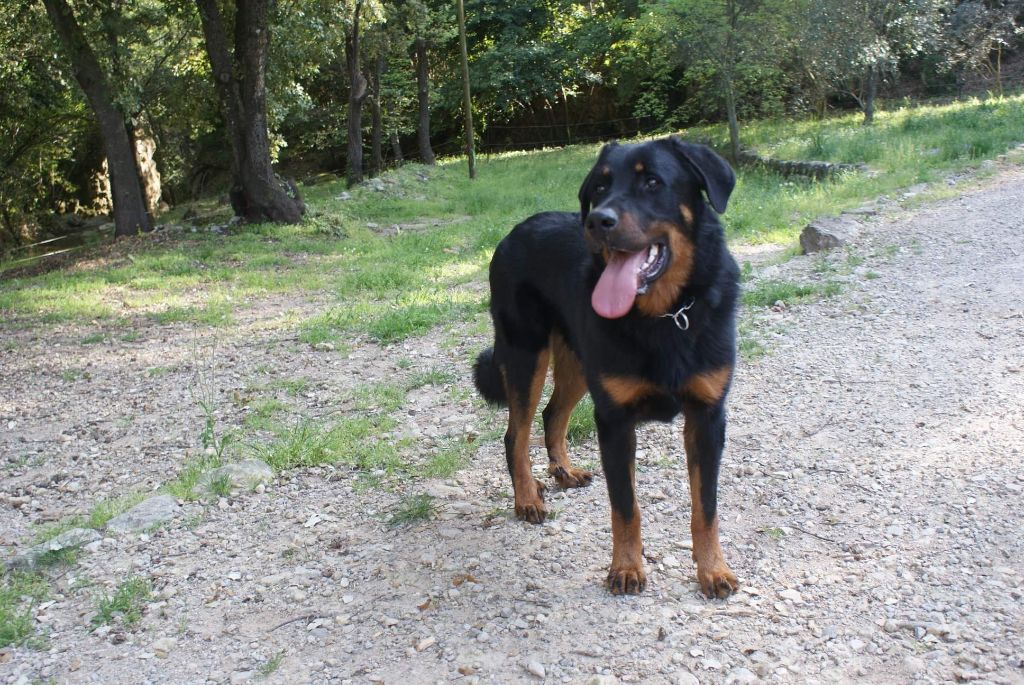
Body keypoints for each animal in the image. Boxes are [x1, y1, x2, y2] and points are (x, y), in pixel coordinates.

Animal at [475, 133, 741, 593]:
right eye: (598, 187)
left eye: (652, 181)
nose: (598, 221)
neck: (663, 316)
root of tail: (512, 233)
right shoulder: (614, 420)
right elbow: (626, 507)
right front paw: (626, 569)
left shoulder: (707, 416)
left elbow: (705, 506)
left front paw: (712, 570)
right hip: (526, 355)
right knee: (516, 434)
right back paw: (527, 499)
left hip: (577, 364)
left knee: (552, 414)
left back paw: (563, 471)